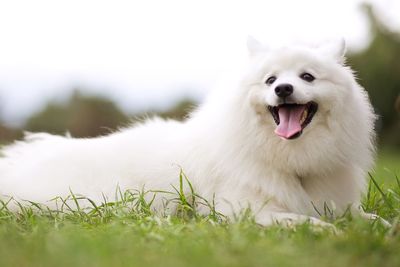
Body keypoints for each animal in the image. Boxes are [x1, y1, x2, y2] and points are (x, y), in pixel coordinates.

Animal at [0, 37, 380, 226]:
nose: (283, 89)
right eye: (270, 79)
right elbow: (310, 223)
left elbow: (371, 218)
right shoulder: (241, 211)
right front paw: (334, 234)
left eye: (307, 77)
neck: (292, 160)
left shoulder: (337, 203)